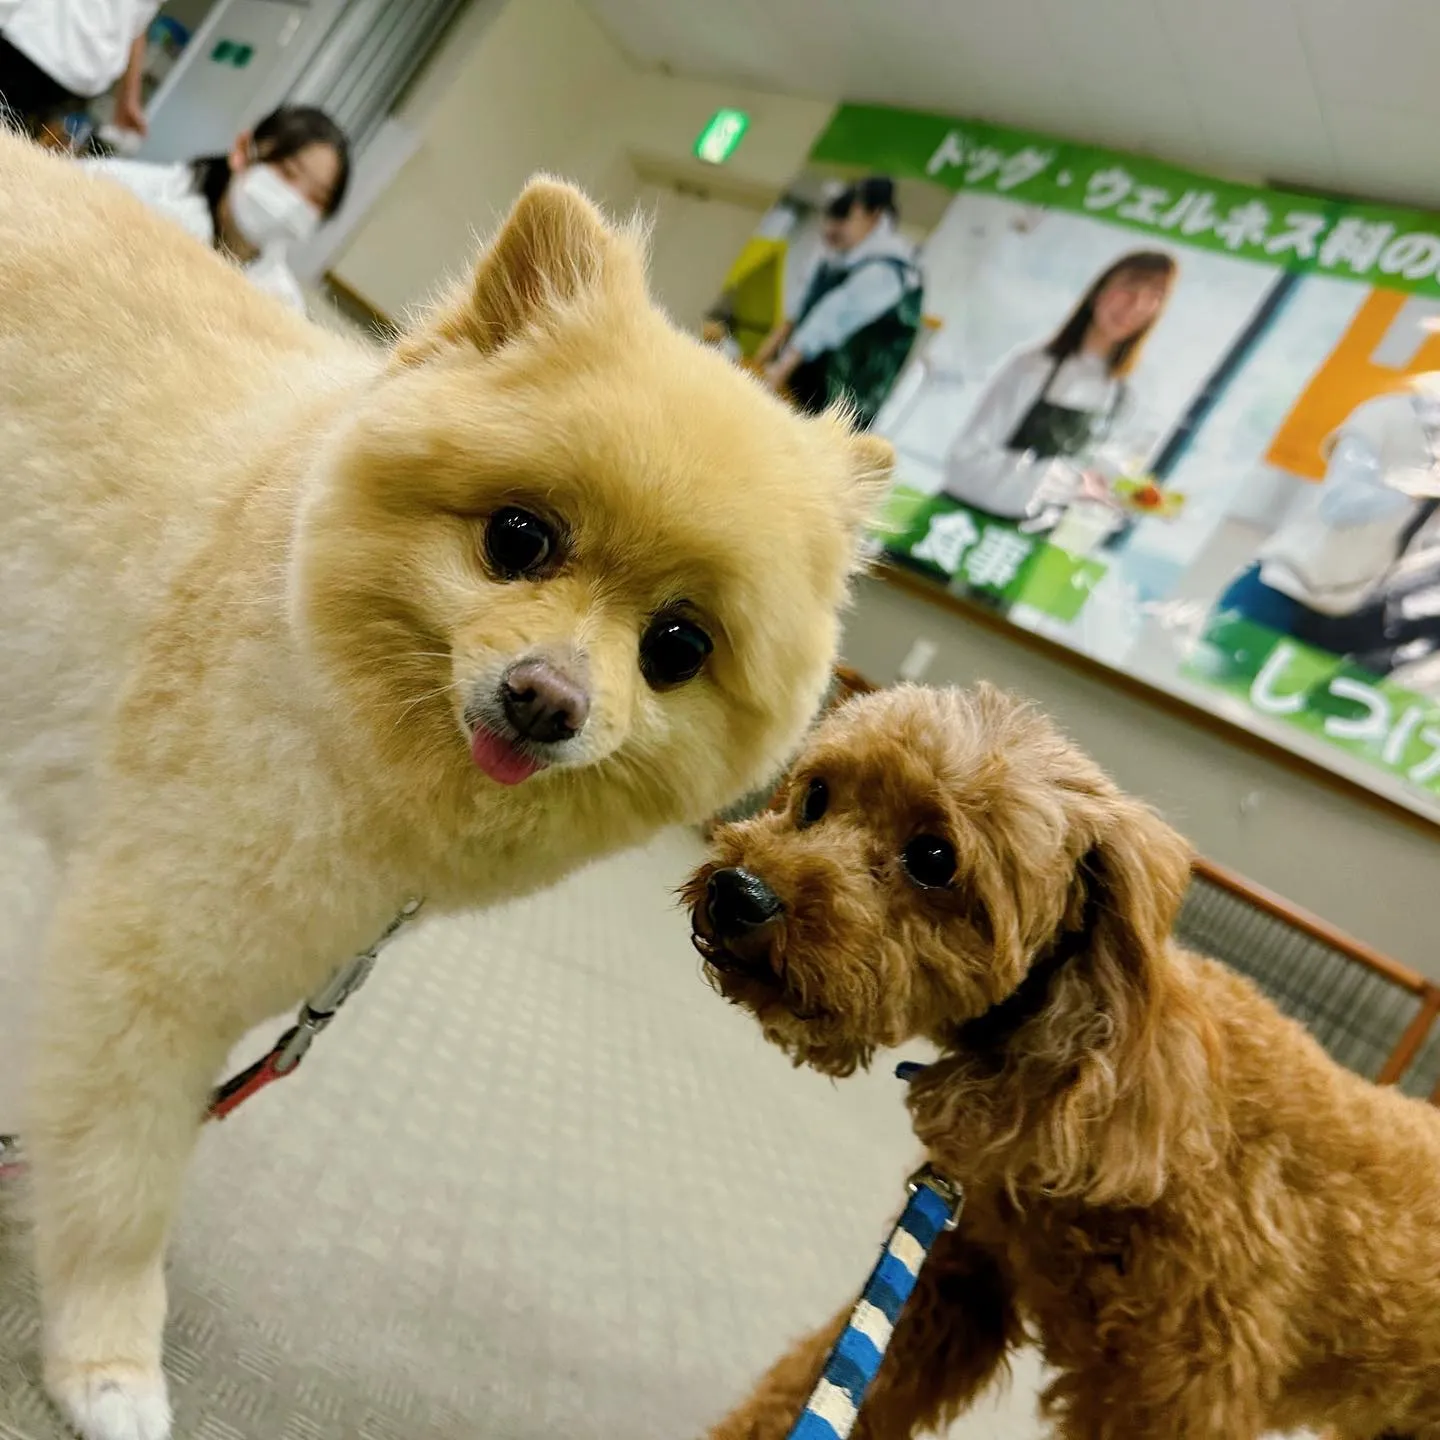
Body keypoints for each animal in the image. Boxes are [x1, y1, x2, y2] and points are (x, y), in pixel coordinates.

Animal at [0, 129, 887, 1434]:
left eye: (677, 646)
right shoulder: (146, 963)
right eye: (517, 540)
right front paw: (108, 1365)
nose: (547, 698)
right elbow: (122, 1186)